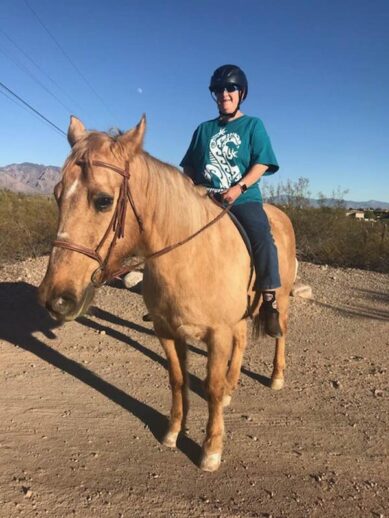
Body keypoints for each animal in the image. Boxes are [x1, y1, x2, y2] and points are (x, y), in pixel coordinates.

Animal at [38, 116, 296, 474]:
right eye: (57, 195)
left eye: (103, 200)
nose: (55, 298)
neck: (189, 257)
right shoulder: (167, 331)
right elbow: (176, 379)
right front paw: (174, 432)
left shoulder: (217, 334)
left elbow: (212, 387)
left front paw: (211, 449)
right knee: (242, 341)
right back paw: (233, 386)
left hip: (280, 301)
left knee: (280, 333)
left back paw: (276, 377)